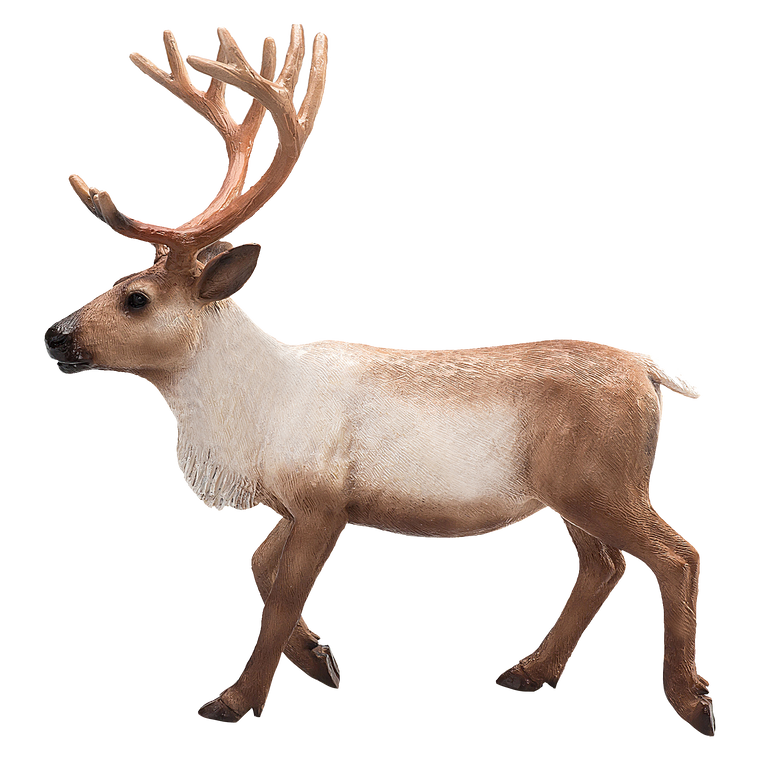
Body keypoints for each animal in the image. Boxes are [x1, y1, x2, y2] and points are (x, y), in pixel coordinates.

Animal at [42, 24, 716, 737]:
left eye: (136, 298)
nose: (55, 333)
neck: (253, 416)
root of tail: (647, 371)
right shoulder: (300, 500)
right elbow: (257, 565)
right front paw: (318, 660)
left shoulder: (321, 500)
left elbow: (283, 593)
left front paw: (234, 699)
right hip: (569, 495)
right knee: (602, 564)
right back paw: (529, 672)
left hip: (601, 484)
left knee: (675, 556)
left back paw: (691, 701)